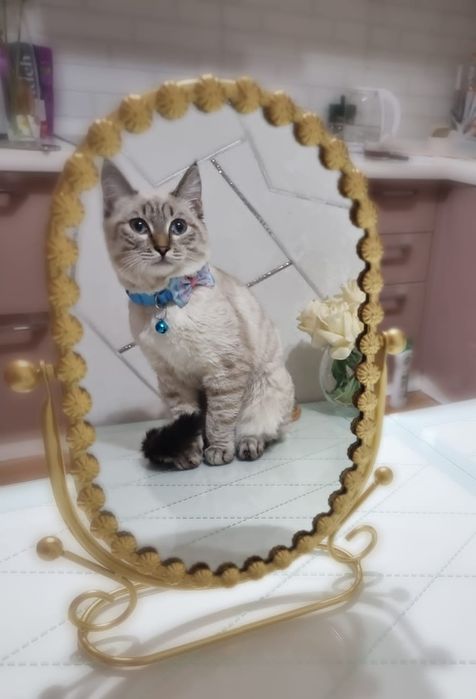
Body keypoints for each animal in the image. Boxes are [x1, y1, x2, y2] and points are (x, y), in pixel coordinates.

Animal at [101, 160, 295, 470]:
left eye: (178, 227)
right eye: (139, 226)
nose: (162, 247)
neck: (164, 299)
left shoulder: (223, 371)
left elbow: (220, 418)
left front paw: (217, 452)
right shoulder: (173, 380)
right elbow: (187, 421)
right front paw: (189, 456)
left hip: (267, 390)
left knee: (263, 430)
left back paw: (248, 446)